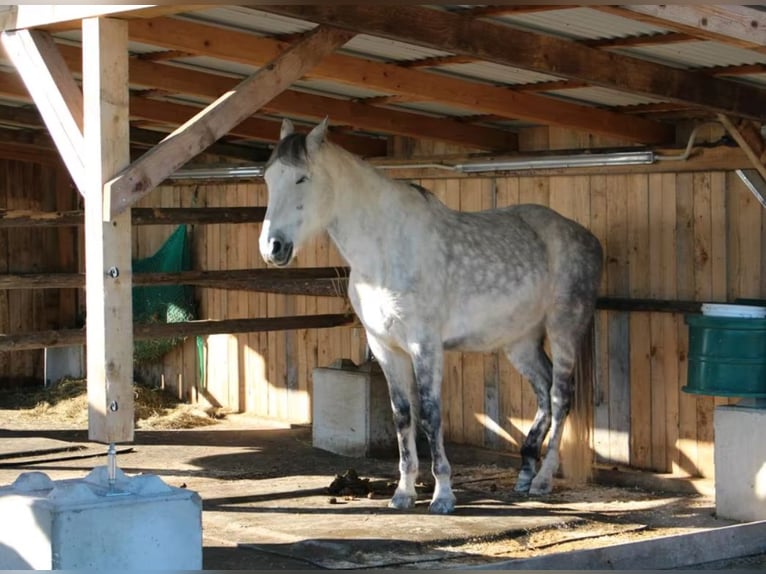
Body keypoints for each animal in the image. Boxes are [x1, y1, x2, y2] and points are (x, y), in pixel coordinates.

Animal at [259, 118, 604, 514]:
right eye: (268, 177)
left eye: (302, 178)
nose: (272, 248)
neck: (385, 250)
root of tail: (586, 236)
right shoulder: (384, 346)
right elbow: (402, 415)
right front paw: (403, 493)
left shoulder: (424, 345)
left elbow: (429, 414)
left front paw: (442, 495)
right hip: (520, 341)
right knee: (544, 391)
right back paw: (525, 473)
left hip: (564, 329)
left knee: (561, 396)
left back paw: (543, 480)